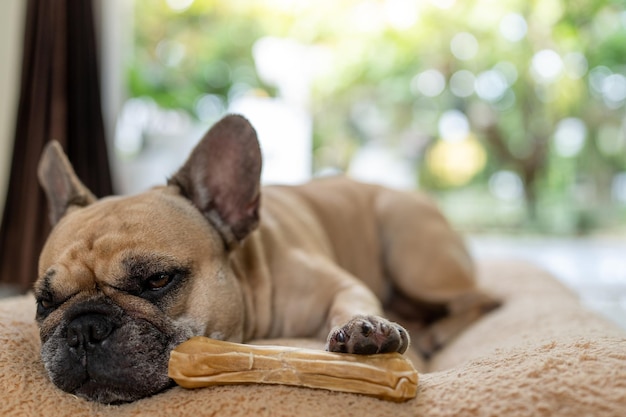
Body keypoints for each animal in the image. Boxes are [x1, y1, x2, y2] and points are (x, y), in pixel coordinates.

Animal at [34, 114, 498, 404]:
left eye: (158, 280)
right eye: (43, 302)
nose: (84, 329)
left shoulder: (340, 283)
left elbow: (352, 300)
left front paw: (365, 329)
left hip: (411, 255)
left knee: (484, 297)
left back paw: (439, 333)